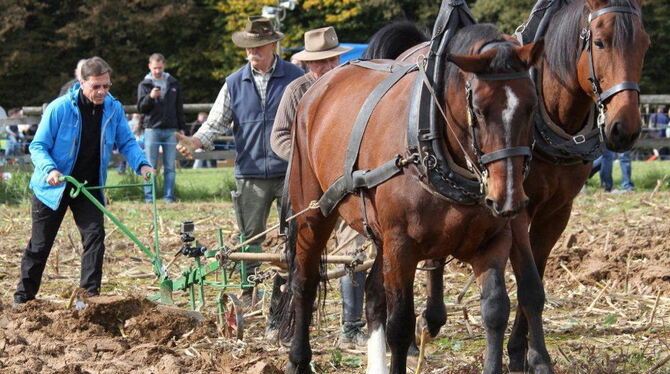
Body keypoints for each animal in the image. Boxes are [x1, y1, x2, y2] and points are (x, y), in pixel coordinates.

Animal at [286, 23, 544, 374]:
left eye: (531, 106)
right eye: (478, 110)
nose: (507, 200)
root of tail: (317, 89)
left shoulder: (492, 241)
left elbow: (495, 309)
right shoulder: (401, 245)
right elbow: (400, 324)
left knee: (372, 294)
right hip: (313, 212)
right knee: (305, 281)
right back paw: (298, 359)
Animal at [420, 0, 652, 372]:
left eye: (644, 45)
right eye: (600, 42)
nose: (624, 129)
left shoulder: (557, 211)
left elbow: (537, 280)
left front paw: (520, 352)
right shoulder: (515, 209)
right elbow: (528, 284)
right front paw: (537, 357)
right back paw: (430, 317)